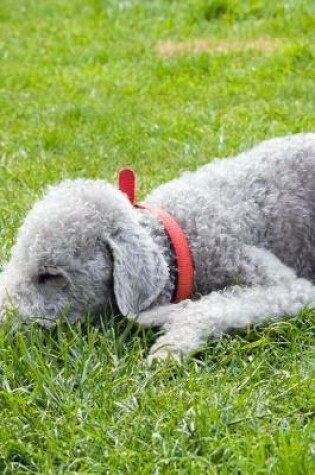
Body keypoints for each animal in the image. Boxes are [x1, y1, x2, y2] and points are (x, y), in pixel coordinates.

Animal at [0, 132, 315, 362]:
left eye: (50, 275)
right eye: (15, 262)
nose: (3, 322)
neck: (177, 239)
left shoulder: (283, 283)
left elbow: (214, 306)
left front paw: (171, 344)